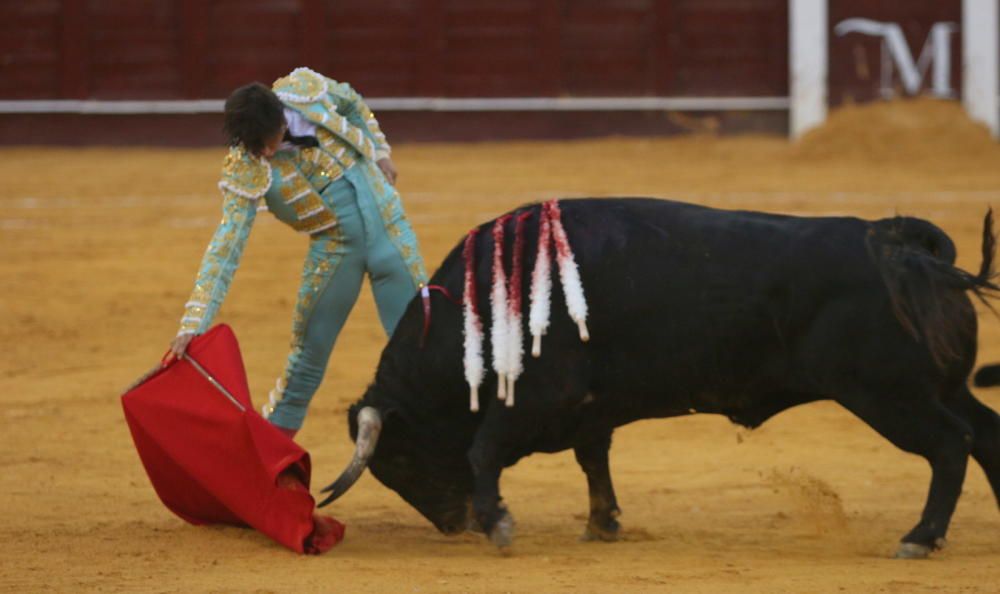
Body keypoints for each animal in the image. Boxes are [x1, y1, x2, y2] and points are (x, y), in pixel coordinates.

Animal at [320, 198, 1000, 556]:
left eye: (395, 460)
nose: (452, 523)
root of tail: (903, 247)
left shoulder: (537, 398)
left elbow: (483, 448)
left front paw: (499, 523)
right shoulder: (588, 409)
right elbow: (593, 461)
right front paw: (603, 524)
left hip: (889, 394)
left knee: (951, 444)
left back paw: (920, 537)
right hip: (940, 387)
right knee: (985, 432)